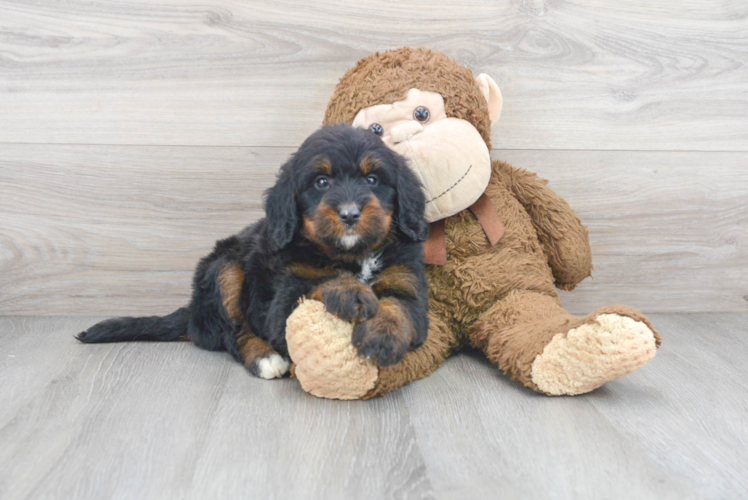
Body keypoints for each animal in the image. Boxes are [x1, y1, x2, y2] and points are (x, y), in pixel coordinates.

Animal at [78, 125, 430, 378]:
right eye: (321, 182)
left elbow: (399, 307)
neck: (352, 254)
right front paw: (351, 291)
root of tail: (193, 309)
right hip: (224, 269)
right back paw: (265, 359)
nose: (349, 214)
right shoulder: (281, 301)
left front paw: (382, 337)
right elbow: (320, 279)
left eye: (372, 179)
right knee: (233, 333)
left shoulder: (406, 280)